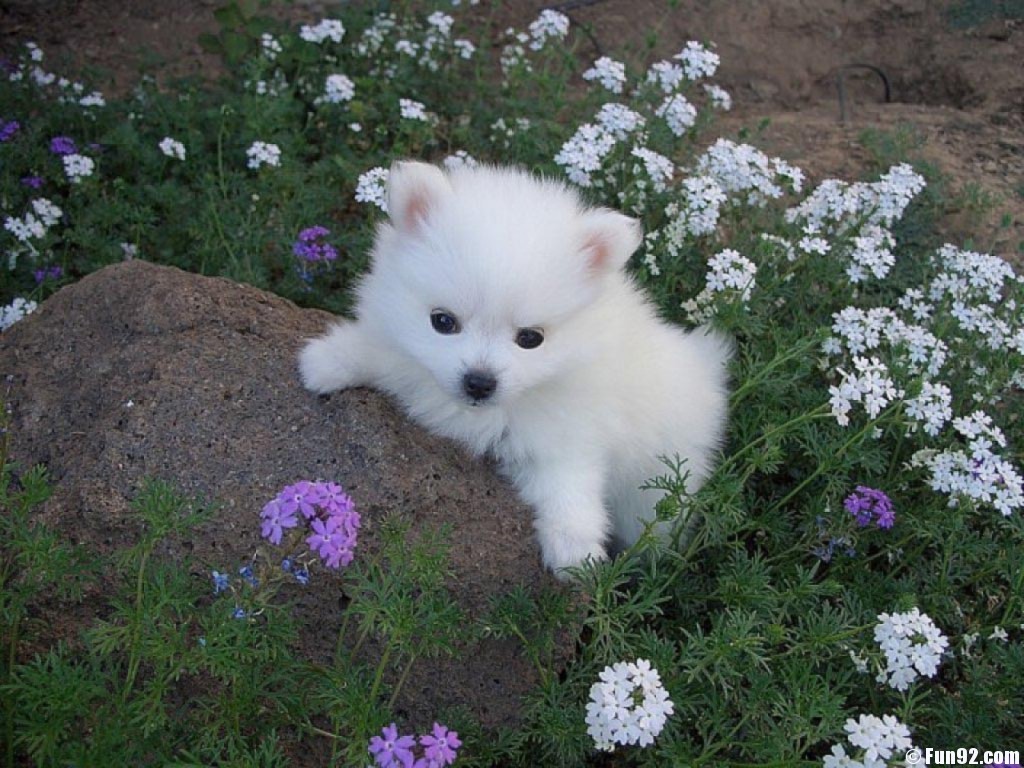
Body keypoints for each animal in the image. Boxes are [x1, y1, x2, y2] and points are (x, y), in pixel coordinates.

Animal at [296, 162, 729, 577]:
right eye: (442, 322)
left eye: (530, 338)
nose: (479, 382)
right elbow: (382, 348)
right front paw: (327, 361)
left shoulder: (567, 432)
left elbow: (568, 484)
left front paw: (574, 549)